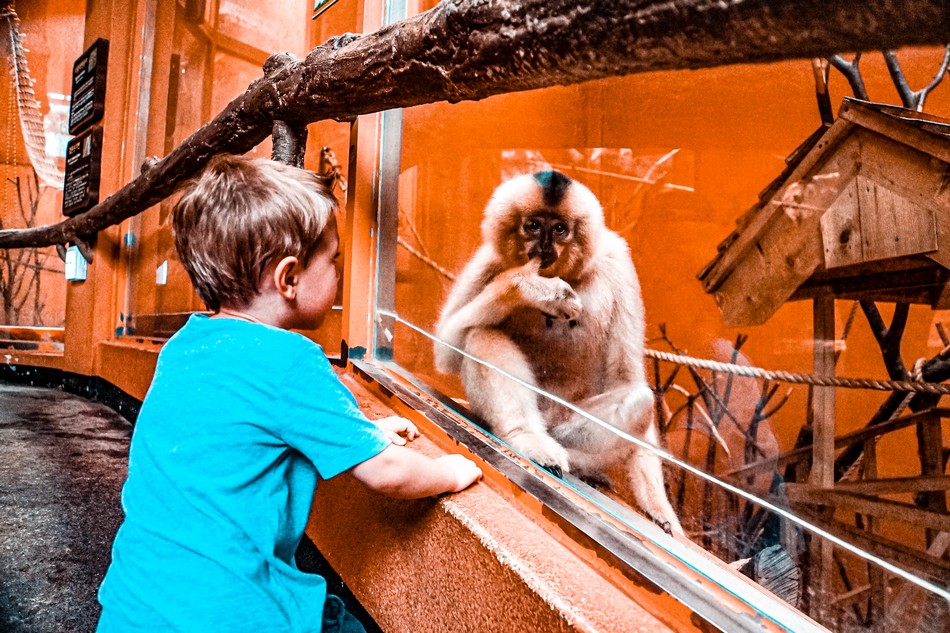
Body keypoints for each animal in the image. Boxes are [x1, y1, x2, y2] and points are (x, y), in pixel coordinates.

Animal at [436, 169, 680, 532]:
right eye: (534, 225)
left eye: (561, 228)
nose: (545, 246)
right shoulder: (490, 260)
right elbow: (446, 349)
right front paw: (532, 289)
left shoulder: (618, 262)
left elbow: (626, 378)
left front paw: (659, 507)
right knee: (480, 334)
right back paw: (530, 440)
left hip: (564, 426)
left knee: (638, 401)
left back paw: (579, 466)